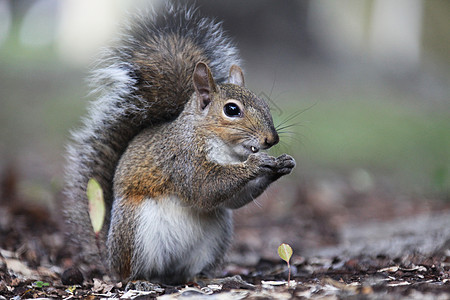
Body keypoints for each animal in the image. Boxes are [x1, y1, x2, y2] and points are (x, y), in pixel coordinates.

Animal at [63, 5, 296, 286]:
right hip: (134, 231)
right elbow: (204, 187)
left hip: (215, 237)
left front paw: (282, 165)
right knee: (131, 272)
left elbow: (232, 200)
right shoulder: (182, 159)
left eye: (264, 104)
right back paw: (140, 280)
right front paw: (257, 163)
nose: (271, 140)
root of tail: (109, 255)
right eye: (231, 110)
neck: (225, 151)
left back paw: (210, 279)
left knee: (189, 271)